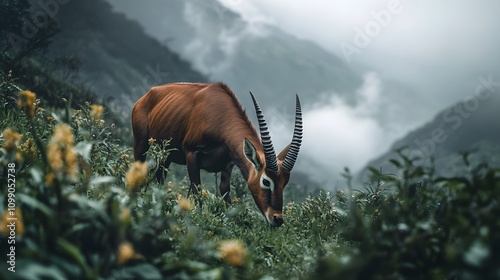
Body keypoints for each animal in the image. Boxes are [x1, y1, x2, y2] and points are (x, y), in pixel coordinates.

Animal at [131, 82, 302, 226]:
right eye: (266, 181)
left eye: (284, 183)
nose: (277, 219)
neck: (220, 115)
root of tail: (146, 96)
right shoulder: (192, 154)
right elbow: (197, 191)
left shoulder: (228, 166)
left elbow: (225, 194)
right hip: (141, 146)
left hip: (166, 156)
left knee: (160, 175)